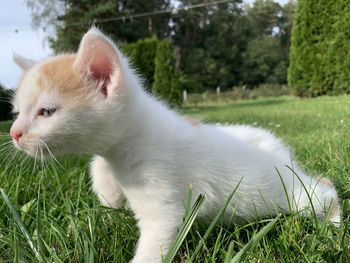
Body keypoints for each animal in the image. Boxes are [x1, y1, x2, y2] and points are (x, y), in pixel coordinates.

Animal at [10, 27, 340, 262]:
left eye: (46, 112)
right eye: (17, 112)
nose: (14, 133)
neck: (136, 136)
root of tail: (284, 157)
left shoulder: (163, 200)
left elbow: (158, 235)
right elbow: (100, 165)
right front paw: (108, 194)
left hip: (290, 195)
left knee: (325, 190)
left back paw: (335, 229)